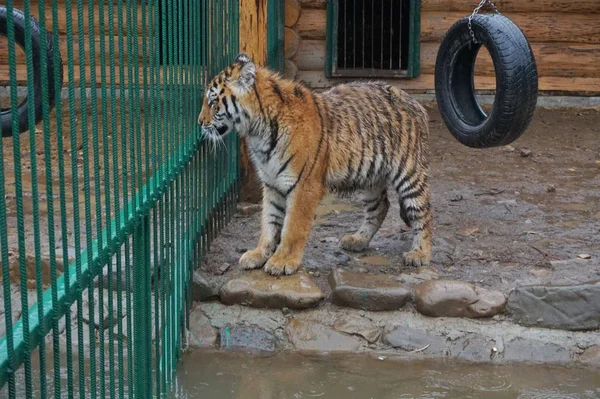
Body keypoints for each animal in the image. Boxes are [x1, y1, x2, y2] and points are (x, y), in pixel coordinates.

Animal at [199, 53, 434, 276]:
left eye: (212, 102)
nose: (200, 123)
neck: (257, 132)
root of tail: (415, 103)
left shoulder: (304, 184)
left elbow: (292, 227)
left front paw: (282, 262)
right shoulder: (271, 183)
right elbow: (268, 222)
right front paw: (259, 254)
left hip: (410, 173)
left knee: (424, 213)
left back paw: (420, 254)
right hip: (370, 179)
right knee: (380, 207)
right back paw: (358, 240)